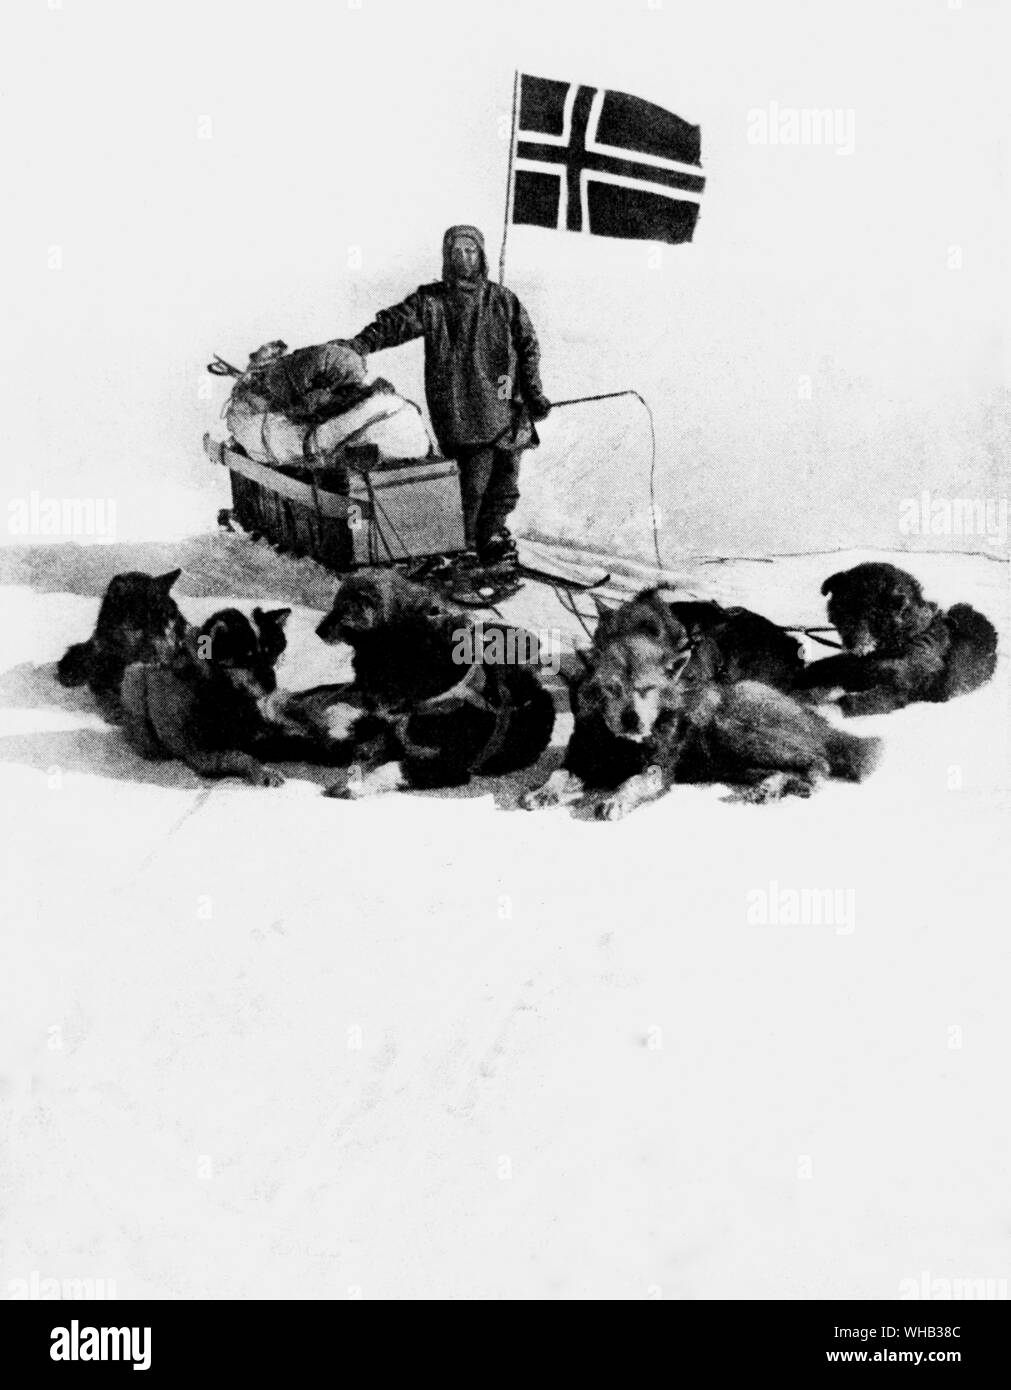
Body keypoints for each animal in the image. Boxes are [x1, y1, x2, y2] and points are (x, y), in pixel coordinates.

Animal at [120, 606, 292, 789]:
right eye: (247, 658)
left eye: (271, 657)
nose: (272, 686)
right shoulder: (202, 754)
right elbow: (241, 757)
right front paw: (264, 772)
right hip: (134, 674)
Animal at [795, 561, 1001, 717]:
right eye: (843, 609)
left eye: (873, 614)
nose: (851, 643)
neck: (903, 639)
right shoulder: (856, 664)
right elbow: (826, 666)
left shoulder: (901, 689)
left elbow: (847, 701)